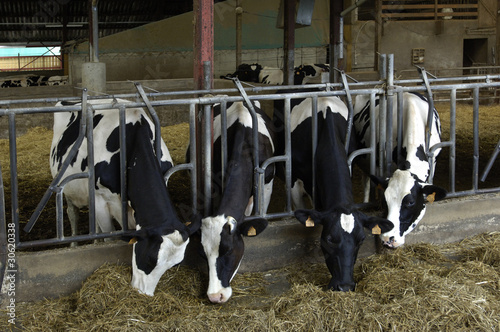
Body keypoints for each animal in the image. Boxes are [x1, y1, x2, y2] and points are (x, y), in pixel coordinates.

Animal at [50, 98, 199, 296]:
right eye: (150, 259)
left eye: (173, 265)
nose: (145, 294)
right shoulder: (100, 199)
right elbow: (110, 238)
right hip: (66, 188)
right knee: (71, 214)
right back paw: (73, 243)